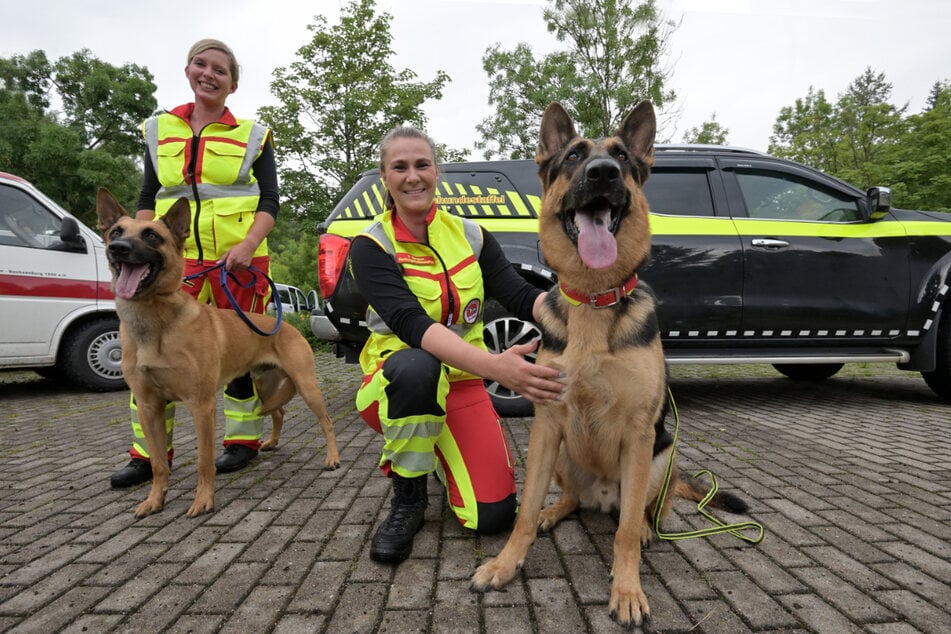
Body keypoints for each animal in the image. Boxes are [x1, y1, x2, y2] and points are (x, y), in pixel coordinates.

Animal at [96, 189, 342, 520]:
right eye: (116, 232)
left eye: (151, 236)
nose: (118, 248)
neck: (156, 323)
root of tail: (288, 326)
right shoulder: (148, 407)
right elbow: (159, 463)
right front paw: (155, 500)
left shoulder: (201, 405)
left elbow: (204, 461)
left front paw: (203, 501)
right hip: (264, 385)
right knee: (278, 412)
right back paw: (271, 442)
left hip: (306, 384)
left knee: (326, 421)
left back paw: (332, 458)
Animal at [472, 101, 748, 624]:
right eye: (574, 156)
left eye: (621, 156)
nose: (603, 172)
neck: (594, 300)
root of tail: (601, 495)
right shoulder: (547, 424)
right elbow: (523, 511)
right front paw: (505, 562)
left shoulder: (640, 433)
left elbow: (624, 534)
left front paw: (627, 590)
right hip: (563, 454)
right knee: (571, 499)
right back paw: (554, 512)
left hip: (661, 457)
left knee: (642, 513)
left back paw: (643, 529)